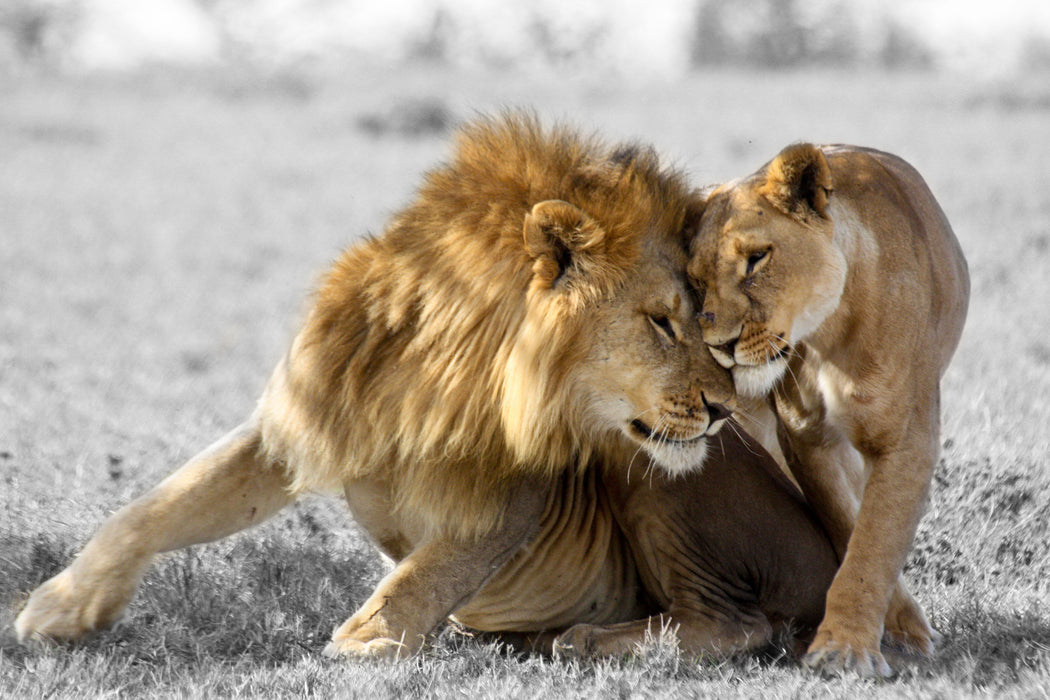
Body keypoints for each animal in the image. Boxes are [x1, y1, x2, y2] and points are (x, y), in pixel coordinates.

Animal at [14, 116, 835, 663]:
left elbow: (428, 570)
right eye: (663, 322)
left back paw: (587, 637)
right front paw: (60, 606)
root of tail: (831, 553)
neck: (437, 374)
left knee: (739, 623)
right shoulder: (300, 420)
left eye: (703, 319)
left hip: (649, 475)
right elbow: (157, 506)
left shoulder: (516, 488)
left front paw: (365, 642)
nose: (725, 408)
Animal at [688, 144, 965, 675]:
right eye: (695, 281)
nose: (719, 346)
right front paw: (871, 635)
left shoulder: (906, 440)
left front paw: (846, 650)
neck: (828, 333)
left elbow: (874, 542)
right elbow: (849, 526)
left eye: (757, 259)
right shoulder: (804, 436)